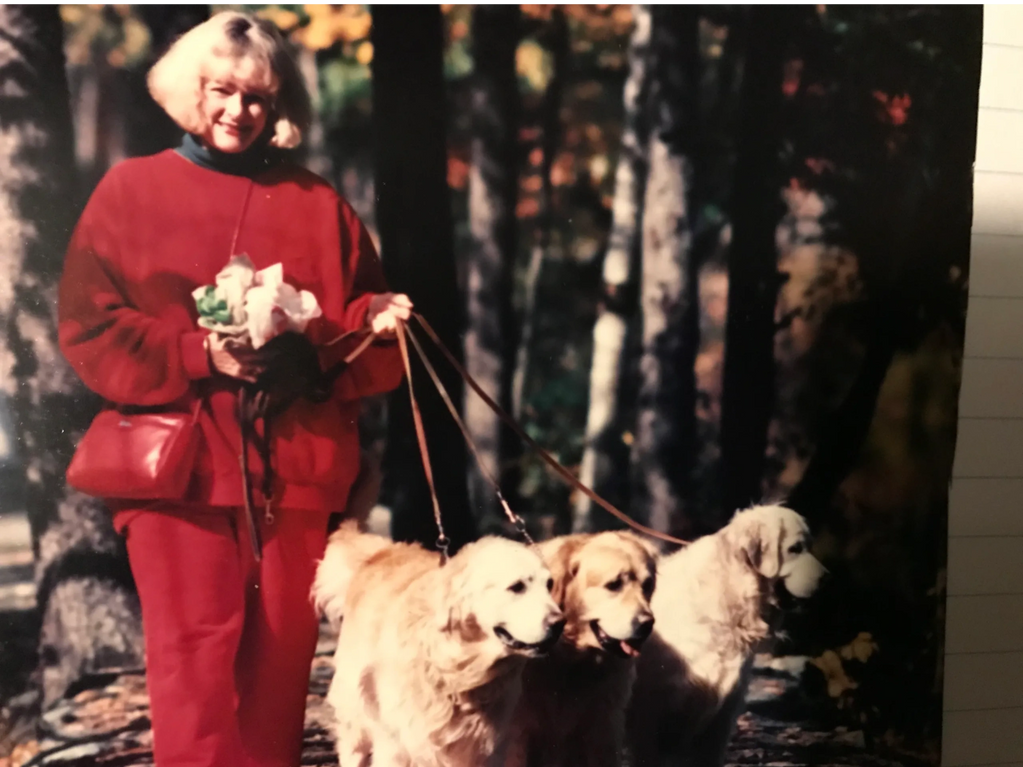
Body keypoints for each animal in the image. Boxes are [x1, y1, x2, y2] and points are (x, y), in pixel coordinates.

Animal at [313, 527, 564, 767]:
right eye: (517, 587)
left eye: (549, 585)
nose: (559, 623)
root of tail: (381, 552)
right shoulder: (399, 745)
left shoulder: (488, 748)